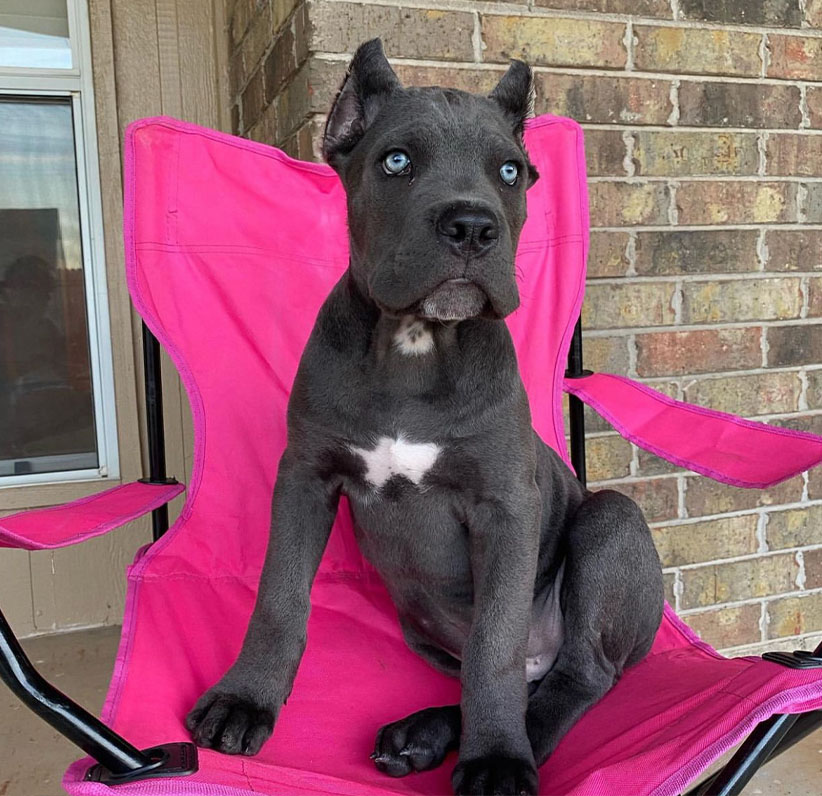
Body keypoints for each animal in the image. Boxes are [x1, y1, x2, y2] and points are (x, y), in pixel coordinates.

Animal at [187, 38, 664, 796]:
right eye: (396, 162)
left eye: (510, 172)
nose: (472, 226)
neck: (414, 342)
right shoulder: (305, 476)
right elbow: (278, 596)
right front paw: (246, 698)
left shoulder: (505, 503)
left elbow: (495, 645)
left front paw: (495, 758)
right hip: (417, 622)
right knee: (510, 676)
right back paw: (422, 735)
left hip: (611, 524)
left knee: (573, 672)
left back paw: (499, 747)